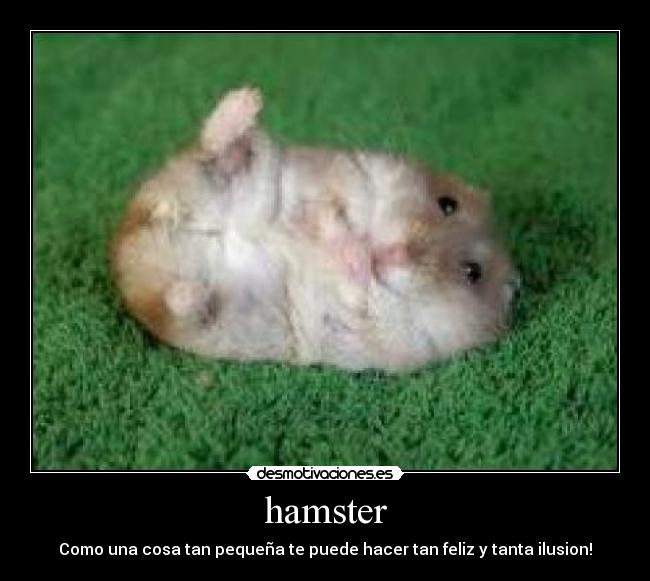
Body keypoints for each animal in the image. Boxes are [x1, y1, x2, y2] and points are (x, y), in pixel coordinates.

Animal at [111, 87, 519, 372]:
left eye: (472, 273)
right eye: (447, 203)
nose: (391, 254)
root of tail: (127, 251)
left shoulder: (384, 328)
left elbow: (357, 280)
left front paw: (335, 238)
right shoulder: (353, 172)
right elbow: (342, 200)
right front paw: (324, 218)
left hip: (201, 318)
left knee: (181, 302)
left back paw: (192, 290)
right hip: (222, 183)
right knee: (214, 152)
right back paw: (246, 102)